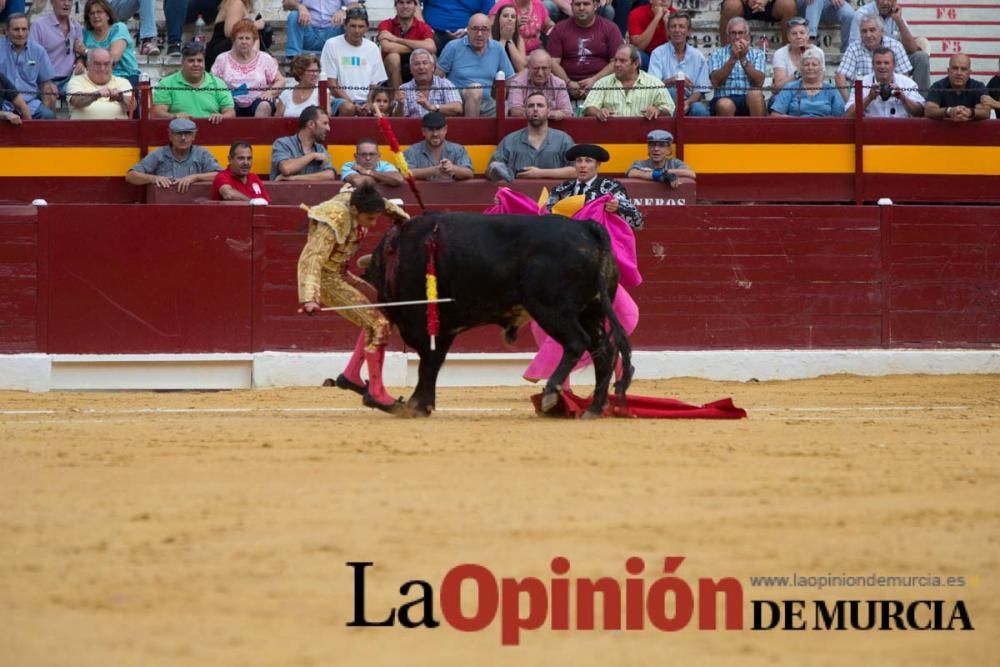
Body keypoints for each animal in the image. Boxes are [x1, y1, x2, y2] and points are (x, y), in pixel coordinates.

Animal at [366, 214, 632, 418]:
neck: (395, 254)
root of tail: (586, 227)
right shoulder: (443, 330)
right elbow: (432, 363)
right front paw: (420, 405)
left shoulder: (425, 327)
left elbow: (427, 364)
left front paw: (414, 405)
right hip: (591, 313)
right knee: (604, 353)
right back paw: (594, 409)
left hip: (551, 309)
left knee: (577, 342)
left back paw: (551, 393)